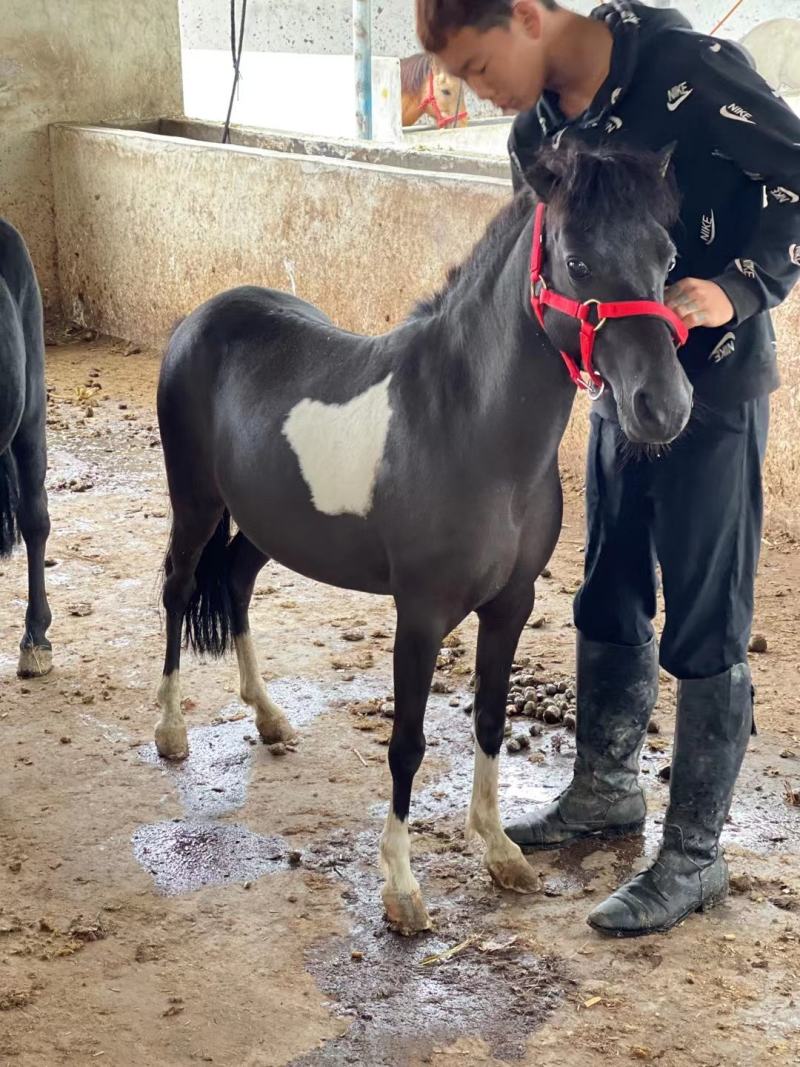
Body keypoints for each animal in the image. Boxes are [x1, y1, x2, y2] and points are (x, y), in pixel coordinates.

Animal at [155, 142, 693, 936]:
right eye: (579, 262)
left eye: (667, 255)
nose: (664, 406)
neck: (467, 427)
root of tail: (202, 318)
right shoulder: (421, 614)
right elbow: (407, 744)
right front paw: (402, 889)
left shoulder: (511, 604)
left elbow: (491, 721)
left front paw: (500, 851)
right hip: (196, 503)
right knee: (180, 588)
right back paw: (170, 732)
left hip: (267, 522)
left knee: (238, 585)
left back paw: (270, 716)